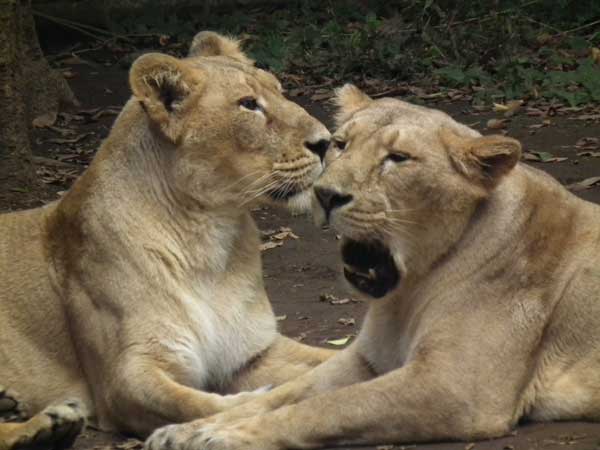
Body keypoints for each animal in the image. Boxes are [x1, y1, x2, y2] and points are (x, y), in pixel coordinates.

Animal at [0, 31, 335, 449]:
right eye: (248, 104)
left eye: (279, 90)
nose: (327, 142)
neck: (209, 241)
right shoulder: (126, 376)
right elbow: (200, 403)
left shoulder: (251, 353)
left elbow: (329, 361)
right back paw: (43, 425)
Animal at [145, 85, 600, 450]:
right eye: (340, 144)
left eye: (398, 158)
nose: (326, 194)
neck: (410, 289)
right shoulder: (367, 358)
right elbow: (287, 393)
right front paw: (188, 429)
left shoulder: (457, 387)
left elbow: (330, 406)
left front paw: (222, 436)